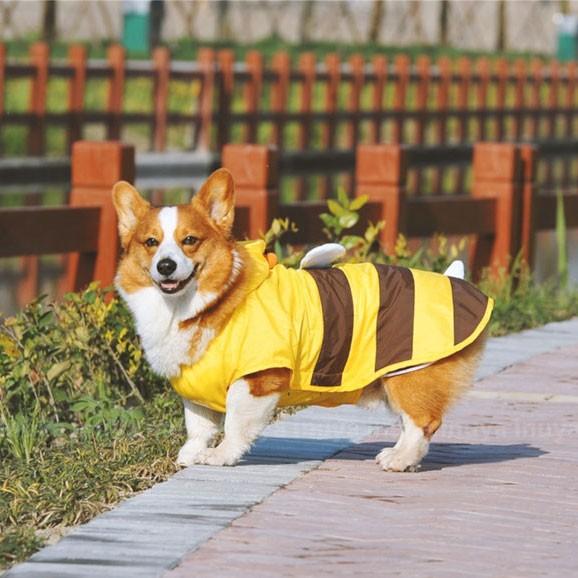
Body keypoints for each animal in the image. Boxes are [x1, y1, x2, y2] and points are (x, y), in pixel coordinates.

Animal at [112, 169, 490, 470]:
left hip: (408, 376)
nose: (166, 266)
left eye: (189, 240)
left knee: (422, 421)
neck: (196, 304)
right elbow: (199, 427)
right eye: (151, 242)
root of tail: (457, 282)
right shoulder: (197, 391)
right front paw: (191, 453)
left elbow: (234, 423)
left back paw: (399, 459)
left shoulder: (257, 380)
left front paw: (221, 456)